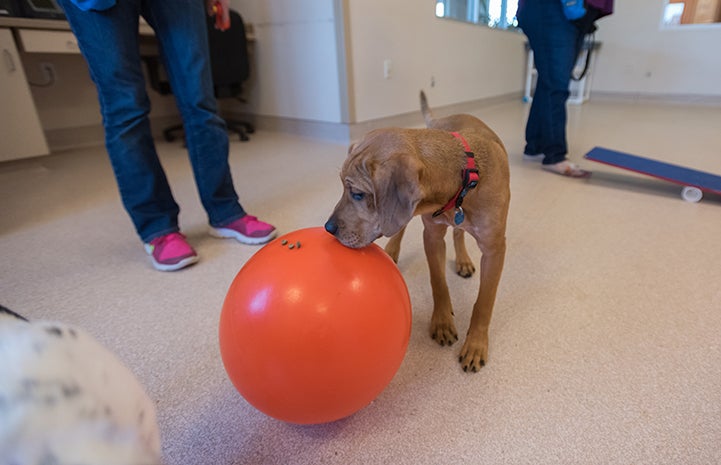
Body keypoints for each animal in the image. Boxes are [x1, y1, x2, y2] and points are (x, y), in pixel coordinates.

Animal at [324, 92, 510, 372]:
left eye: (357, 193)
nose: (328, 228)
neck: (463, 180)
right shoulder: (431, 235)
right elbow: (438, 282)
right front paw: (442, 321)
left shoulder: (494, 250)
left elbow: (484, 302)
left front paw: (476, 344)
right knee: (403, 228)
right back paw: (392, 251)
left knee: (458, 234)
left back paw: (463, 259)